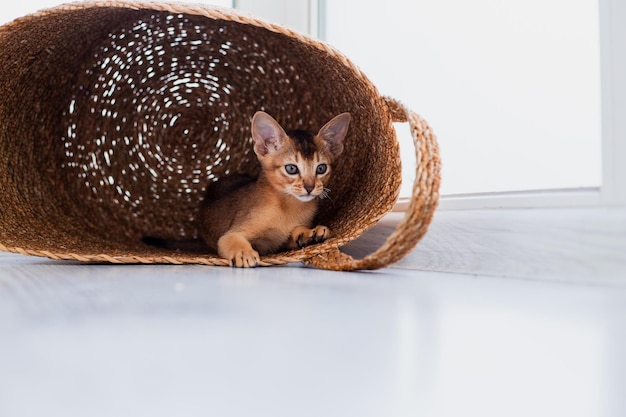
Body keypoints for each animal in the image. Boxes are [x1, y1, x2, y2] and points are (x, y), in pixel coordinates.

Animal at [197, 110, 348, 266]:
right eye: (291, 168)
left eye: (321, 168)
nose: (309, 187)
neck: (288, 207)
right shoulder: (230, 235)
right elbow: (232, 240)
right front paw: (244, 253)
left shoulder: (281, 242)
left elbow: (295, 231)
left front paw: (310, 232)